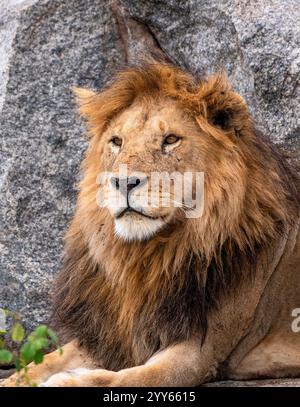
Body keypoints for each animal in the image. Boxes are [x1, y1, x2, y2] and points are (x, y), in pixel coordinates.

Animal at [2, 62, 300, 388]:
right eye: (116, 142)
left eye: (170, 139)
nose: (123, 182)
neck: (145, 259)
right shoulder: (110, 335)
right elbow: (38, 365)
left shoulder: (199, 352)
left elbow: (128, 378)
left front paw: (68, 381)